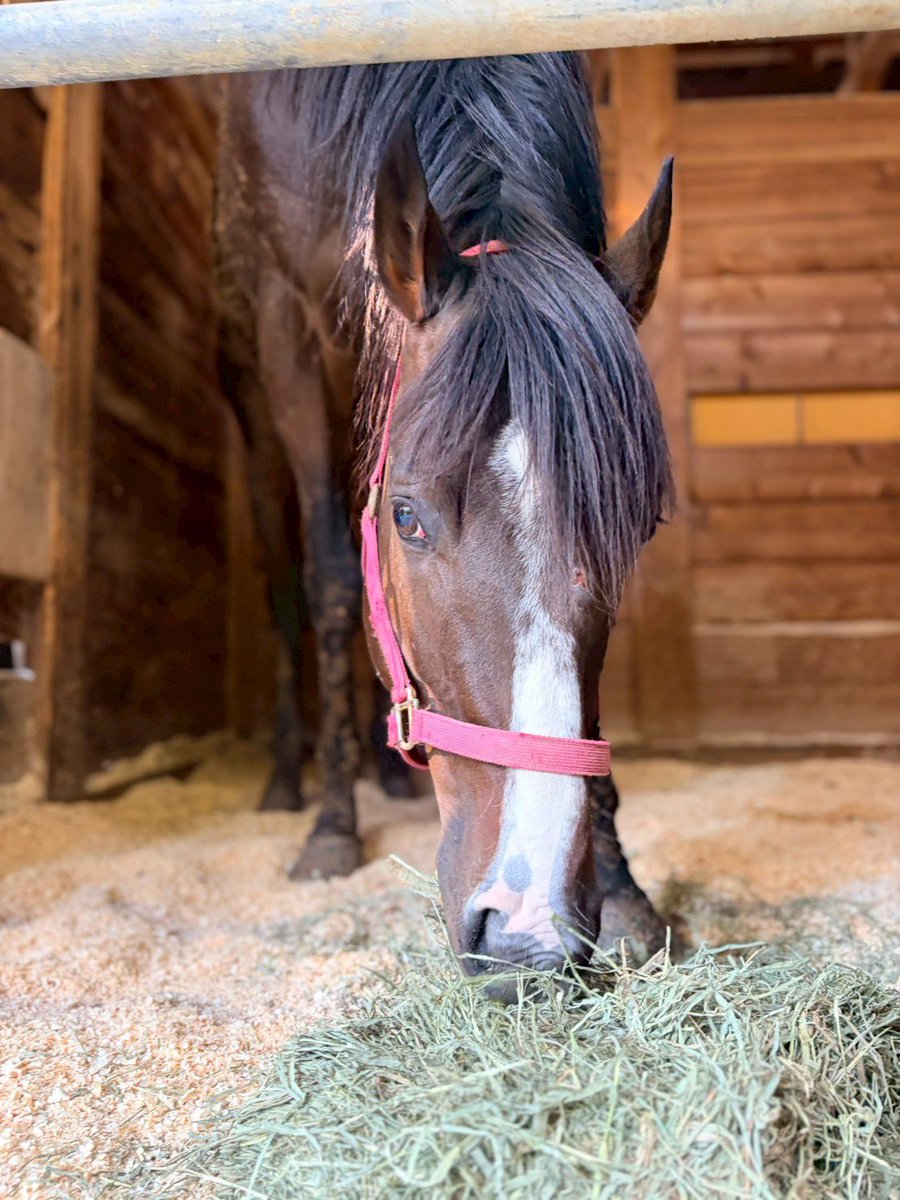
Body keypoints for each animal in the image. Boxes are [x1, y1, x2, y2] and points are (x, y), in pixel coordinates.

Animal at [214, 54, 673, 991]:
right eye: (408, 518)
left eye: (635, 527)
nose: (527, 932)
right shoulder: (289, 329)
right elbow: (331, 582)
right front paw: (331, 829)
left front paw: (622, 887)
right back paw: (293, 784)